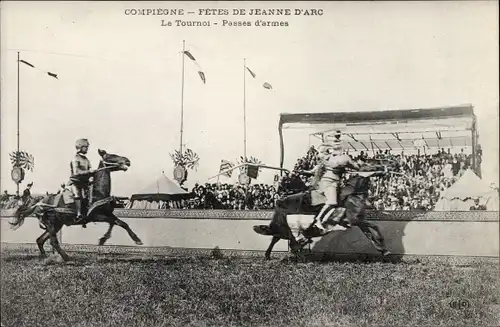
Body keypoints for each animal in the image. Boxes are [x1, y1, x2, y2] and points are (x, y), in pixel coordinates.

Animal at [10, 151, 143, 262]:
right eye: (111, 155)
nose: (127, 161)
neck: (98, 193)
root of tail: (38, 202)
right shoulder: (96, 216)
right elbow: (115, 222)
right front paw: (105, 239)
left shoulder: (108, 214)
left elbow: (120, 223)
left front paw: (134, 239)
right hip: (51, 224)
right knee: (53, 241)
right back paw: (66, 257)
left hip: (57, 225)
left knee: (40, 240)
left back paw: (45, 256)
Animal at [254, 167, 390, 262]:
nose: (383, 171)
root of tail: (280, 202)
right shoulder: (356, 220)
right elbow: (373, 228)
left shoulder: (358, 221)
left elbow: (371, 232)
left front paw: (383, 249)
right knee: (282, 239)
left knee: (279, 238)